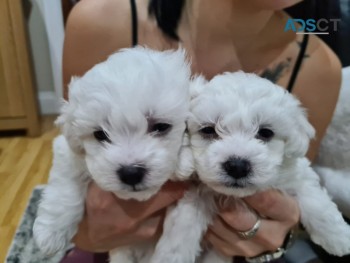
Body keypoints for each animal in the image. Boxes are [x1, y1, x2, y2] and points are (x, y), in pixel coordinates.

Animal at [33, 46, 193, 262]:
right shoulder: (67, 150)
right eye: (100, 134)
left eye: (161, 127)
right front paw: (50, 233)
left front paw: (183, 162)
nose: (131, 173)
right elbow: (65, 184)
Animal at [152, 72, 350, 263]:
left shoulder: (295, 174)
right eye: (208, 130)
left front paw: (339, 238)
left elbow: (316, 201)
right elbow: (182, 228)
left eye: (266, 132)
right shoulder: (195, 194)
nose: (237, 166)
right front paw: (169, 257)